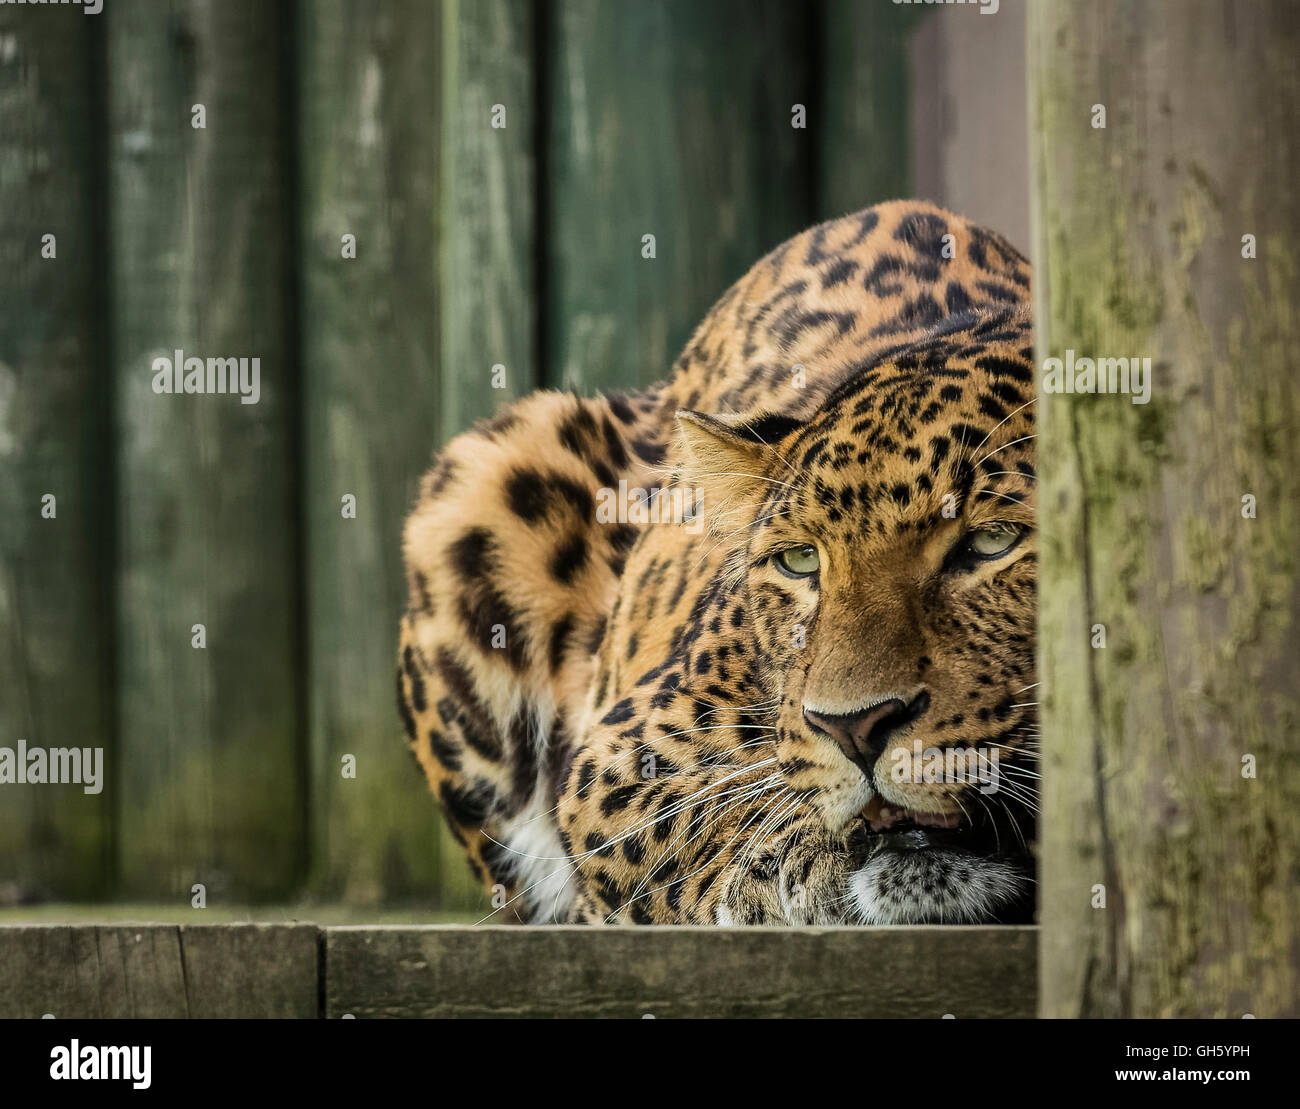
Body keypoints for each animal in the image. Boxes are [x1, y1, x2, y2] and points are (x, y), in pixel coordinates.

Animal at [398, 199, 1038, 925]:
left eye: (992, 542)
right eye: (799, 561)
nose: (854, 729)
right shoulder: (618, 757)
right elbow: (694, 819)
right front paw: (796, 859)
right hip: (485, 479)